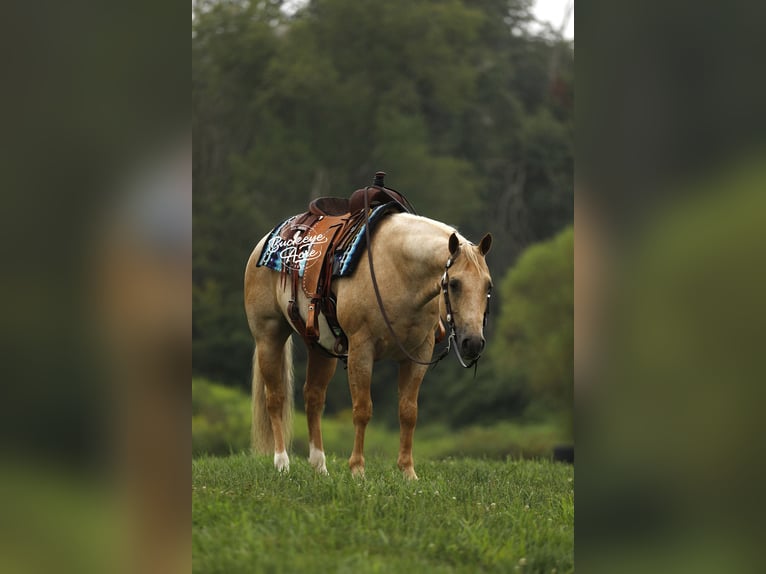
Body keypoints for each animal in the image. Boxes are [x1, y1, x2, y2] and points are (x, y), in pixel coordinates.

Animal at [244, 196, 492, 480]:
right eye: (454, 284)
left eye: (488, 286)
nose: (473, 342)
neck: (399, 271)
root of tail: (265, 242)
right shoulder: (362, 350)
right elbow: (362, 409)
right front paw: (357, 470)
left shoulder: (418, 354)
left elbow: (408, 412)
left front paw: (408, 472)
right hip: (269, 335)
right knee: (275, 398)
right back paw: (282, 463)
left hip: (320, 348)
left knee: (313, 397)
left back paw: (319, 466)